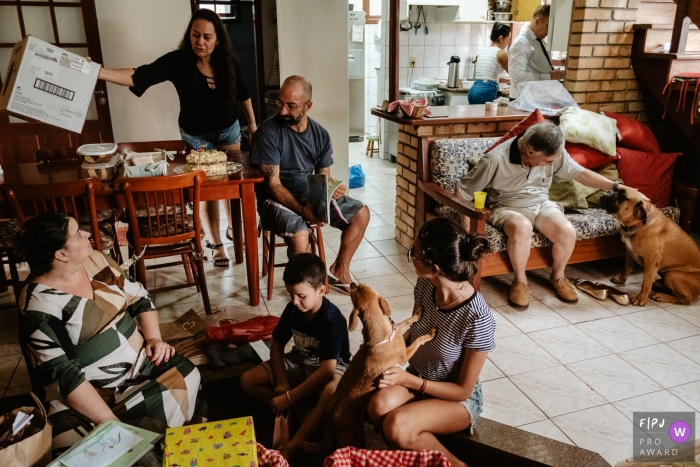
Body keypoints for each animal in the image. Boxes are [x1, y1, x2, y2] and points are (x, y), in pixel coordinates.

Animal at [304, 280, 434, 452]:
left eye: (359, 287)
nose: (352, 283)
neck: (381, 335)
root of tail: (329, 420)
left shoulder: (396, 330)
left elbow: (405, 321)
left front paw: (417, 314)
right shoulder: (405, 354)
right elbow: (418, 340)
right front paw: (430, 334)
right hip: (356, 437)